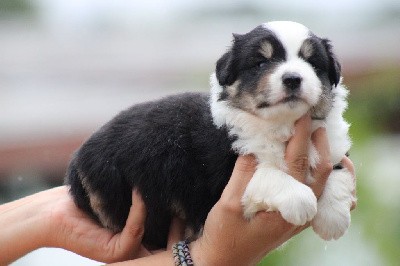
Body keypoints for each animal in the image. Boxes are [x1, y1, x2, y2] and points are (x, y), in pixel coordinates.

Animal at [66, 21, 356, 249]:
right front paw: (302, 201)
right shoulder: (222, 184)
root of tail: (77, 159)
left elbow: (338, 171)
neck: (282, 125)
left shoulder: (332, 147)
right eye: (261, 62)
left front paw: (333, 218)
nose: (293, 78)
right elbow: (268, 175)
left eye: (312, 63)